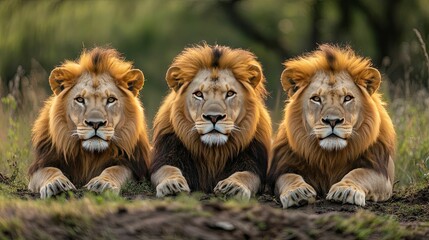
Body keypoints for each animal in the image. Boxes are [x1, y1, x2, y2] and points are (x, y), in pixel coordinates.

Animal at [27, 47, 150, 199]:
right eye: (80, 99)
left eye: (111, 100)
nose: (95, 123)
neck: (90, 155)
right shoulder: (41, 164)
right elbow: (49, 170)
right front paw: (56, 184)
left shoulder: (132, 167)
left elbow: (115, 169)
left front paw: (102, 184)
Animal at [150, 44, 270, 200]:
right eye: (198, 94)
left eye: (230, 93)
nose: (214, 117)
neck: (213, 152)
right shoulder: (166, 155)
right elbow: (168, 169)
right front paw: (172, 185)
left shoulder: (253, 163)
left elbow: (244, 175)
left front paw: (233, 186)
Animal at [268, 44, 394, 208]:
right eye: (316, 99)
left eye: (348, 98)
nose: (332, 121)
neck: (330, 156)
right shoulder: (282, 167)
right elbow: (289, 177)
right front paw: (297, 192)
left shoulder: (381, 172)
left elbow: (360, 173)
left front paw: (346, 190)